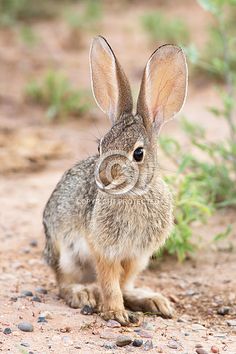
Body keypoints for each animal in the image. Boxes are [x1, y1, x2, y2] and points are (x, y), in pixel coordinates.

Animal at [42, 36, 188, 326]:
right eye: (100, 147)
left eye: (138, 154)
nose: (103, 179)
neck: (133, 195)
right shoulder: (103, 250)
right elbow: (110, 282)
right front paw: (115, 312)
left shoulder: (135, 255)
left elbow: (120, 282)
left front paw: (123, 307)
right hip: (66, 253)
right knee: (63, 282)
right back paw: (83, 294)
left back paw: (152, 300)